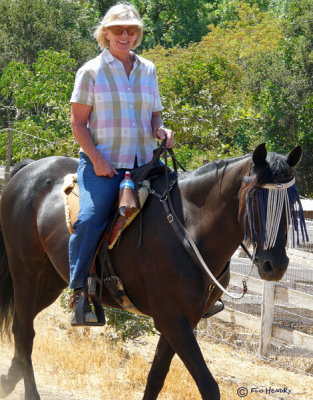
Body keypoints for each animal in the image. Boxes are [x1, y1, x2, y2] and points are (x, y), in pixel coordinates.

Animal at [0, 145, 302, 400]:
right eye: (255, 198)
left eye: (291, 202)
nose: (275, 265)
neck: (189, 226)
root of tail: (27, 170)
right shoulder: (172, 319)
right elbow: (207, 385)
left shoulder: (183, 320)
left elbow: (156, 377)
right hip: (26, 271)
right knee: (23, 331)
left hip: (50, 281)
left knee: (23, 330)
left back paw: (9, 379)